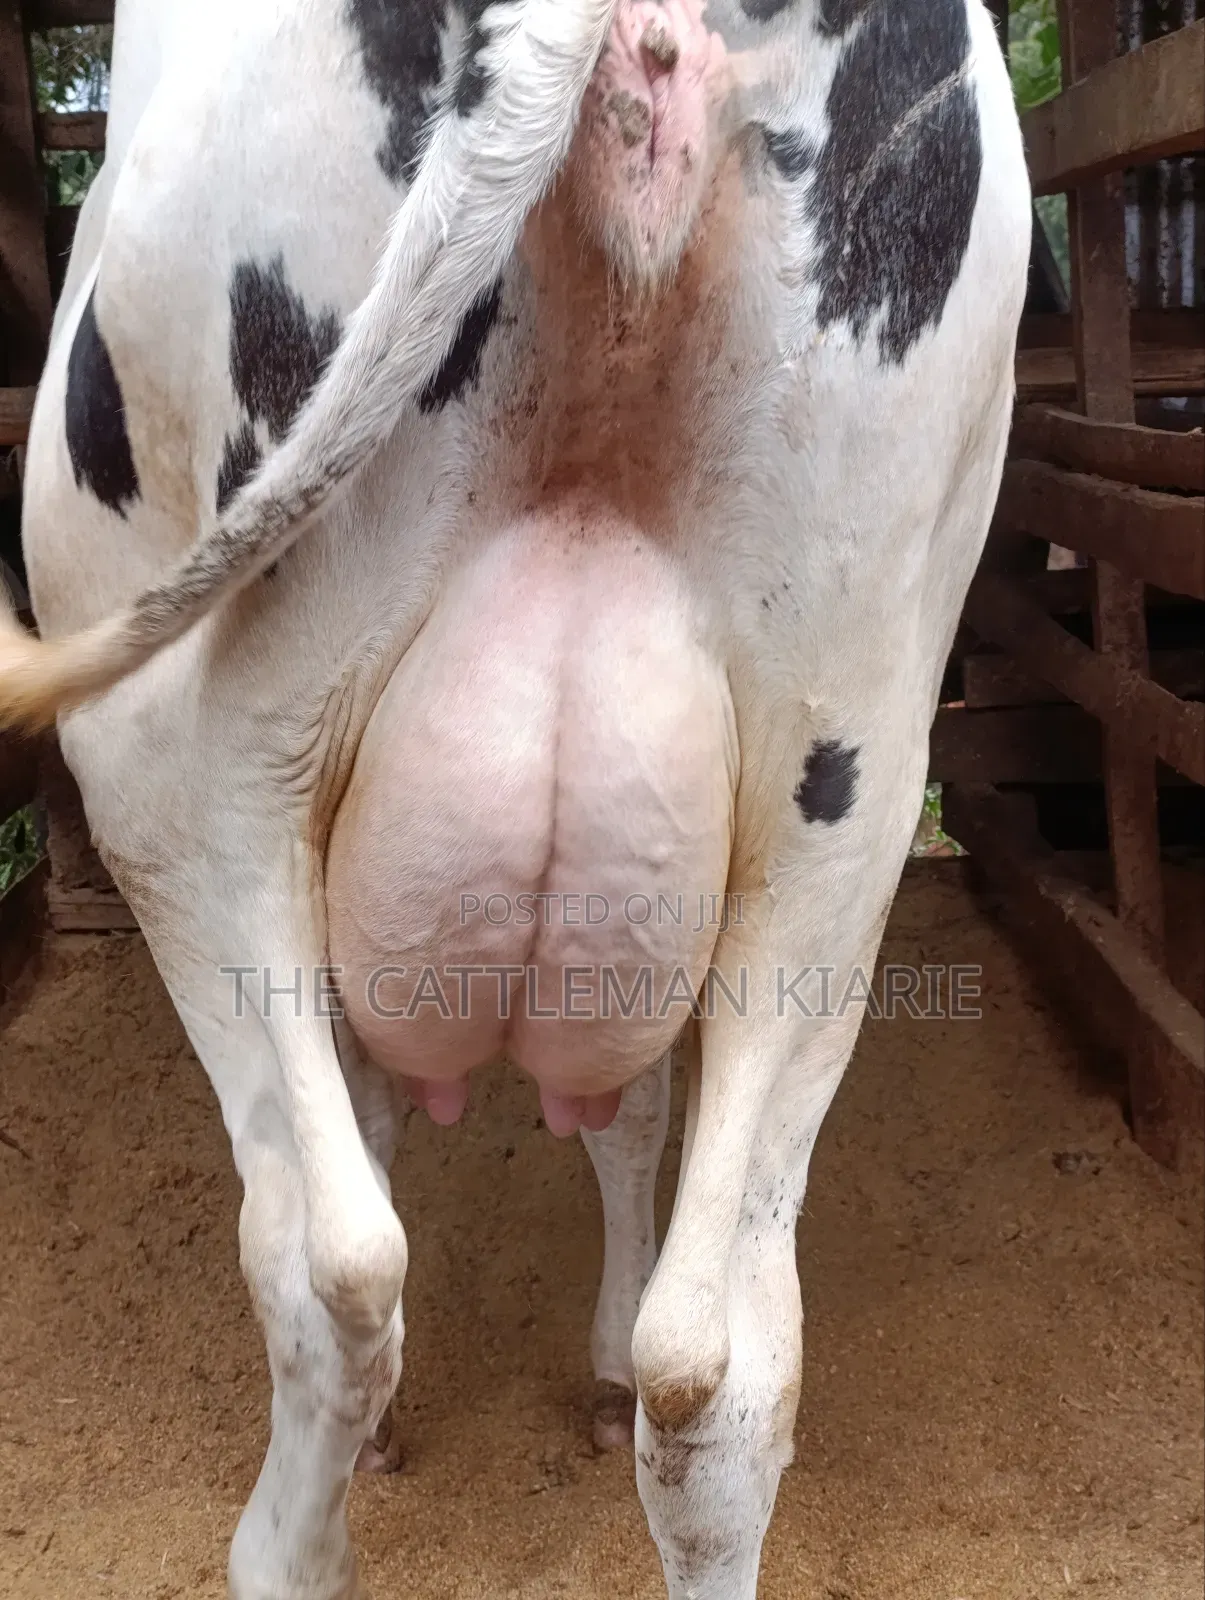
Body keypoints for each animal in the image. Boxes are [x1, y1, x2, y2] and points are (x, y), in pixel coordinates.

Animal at [1, 1, 1030, 1594]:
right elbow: (627, 1120)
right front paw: (597, 1361)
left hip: (192, 768)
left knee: (332, 1260)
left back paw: (283, 1541)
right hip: (844, 780)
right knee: (722, 1362)